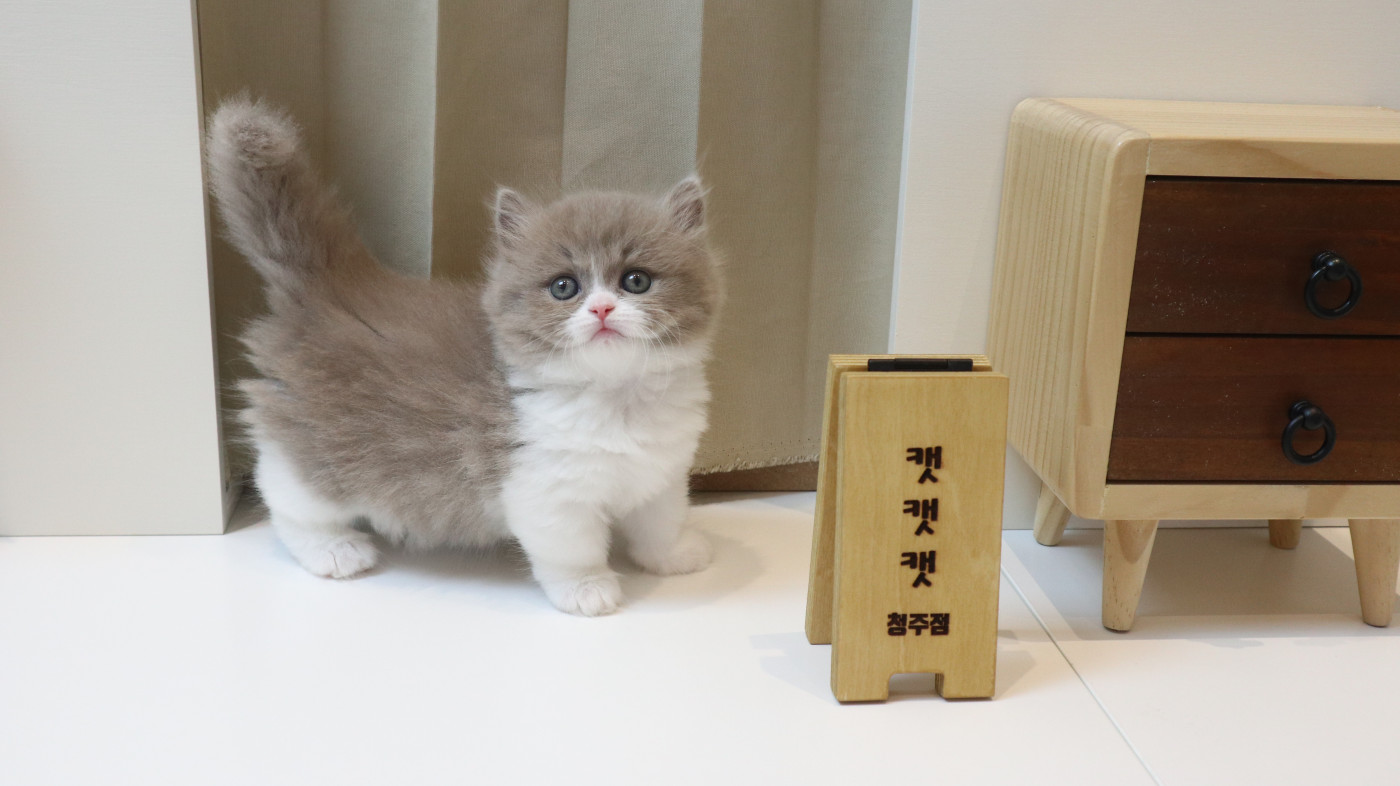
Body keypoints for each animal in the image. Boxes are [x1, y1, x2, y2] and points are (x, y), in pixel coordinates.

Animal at [205, 96, 721, 616]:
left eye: (636, 281)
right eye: (564, 287)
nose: (601, 308)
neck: (618, 400)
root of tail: (335, 285)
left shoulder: (663, 472)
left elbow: (662, 521)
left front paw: (674, 556)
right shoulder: (544, 490)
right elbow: (572, 550)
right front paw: (586, 589)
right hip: (316, 448)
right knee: (285, 494)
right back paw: (333, 549)